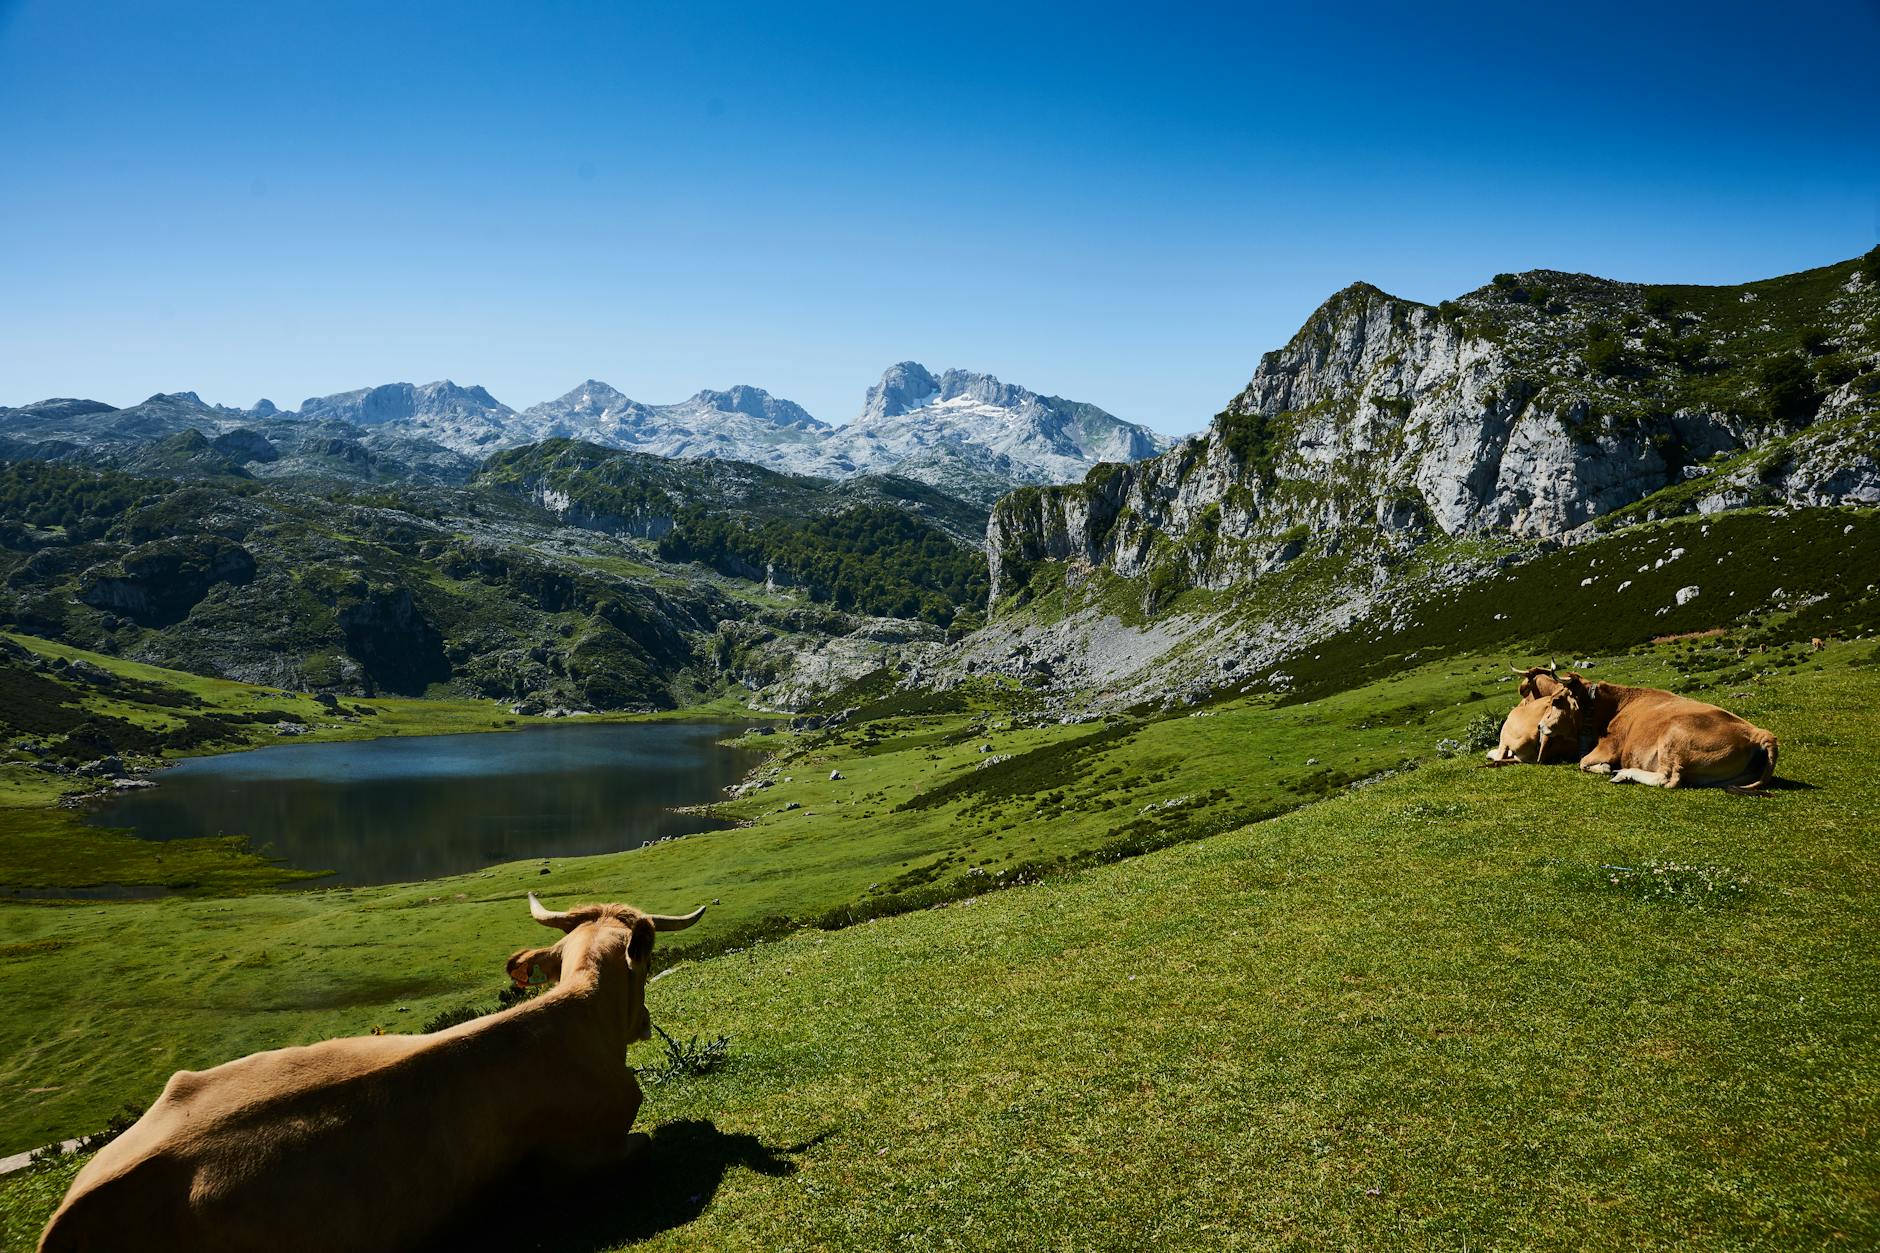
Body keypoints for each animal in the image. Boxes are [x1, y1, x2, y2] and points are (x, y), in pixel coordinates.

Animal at [1558, 672, 1779, 793]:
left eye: (1557, 700)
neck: (1618, 705)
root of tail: (1759, 734)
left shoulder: (1610, 745)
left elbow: (1583, 762)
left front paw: (1604, 767)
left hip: (1673, 740)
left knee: (1666, 778)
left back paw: (1623, 774)